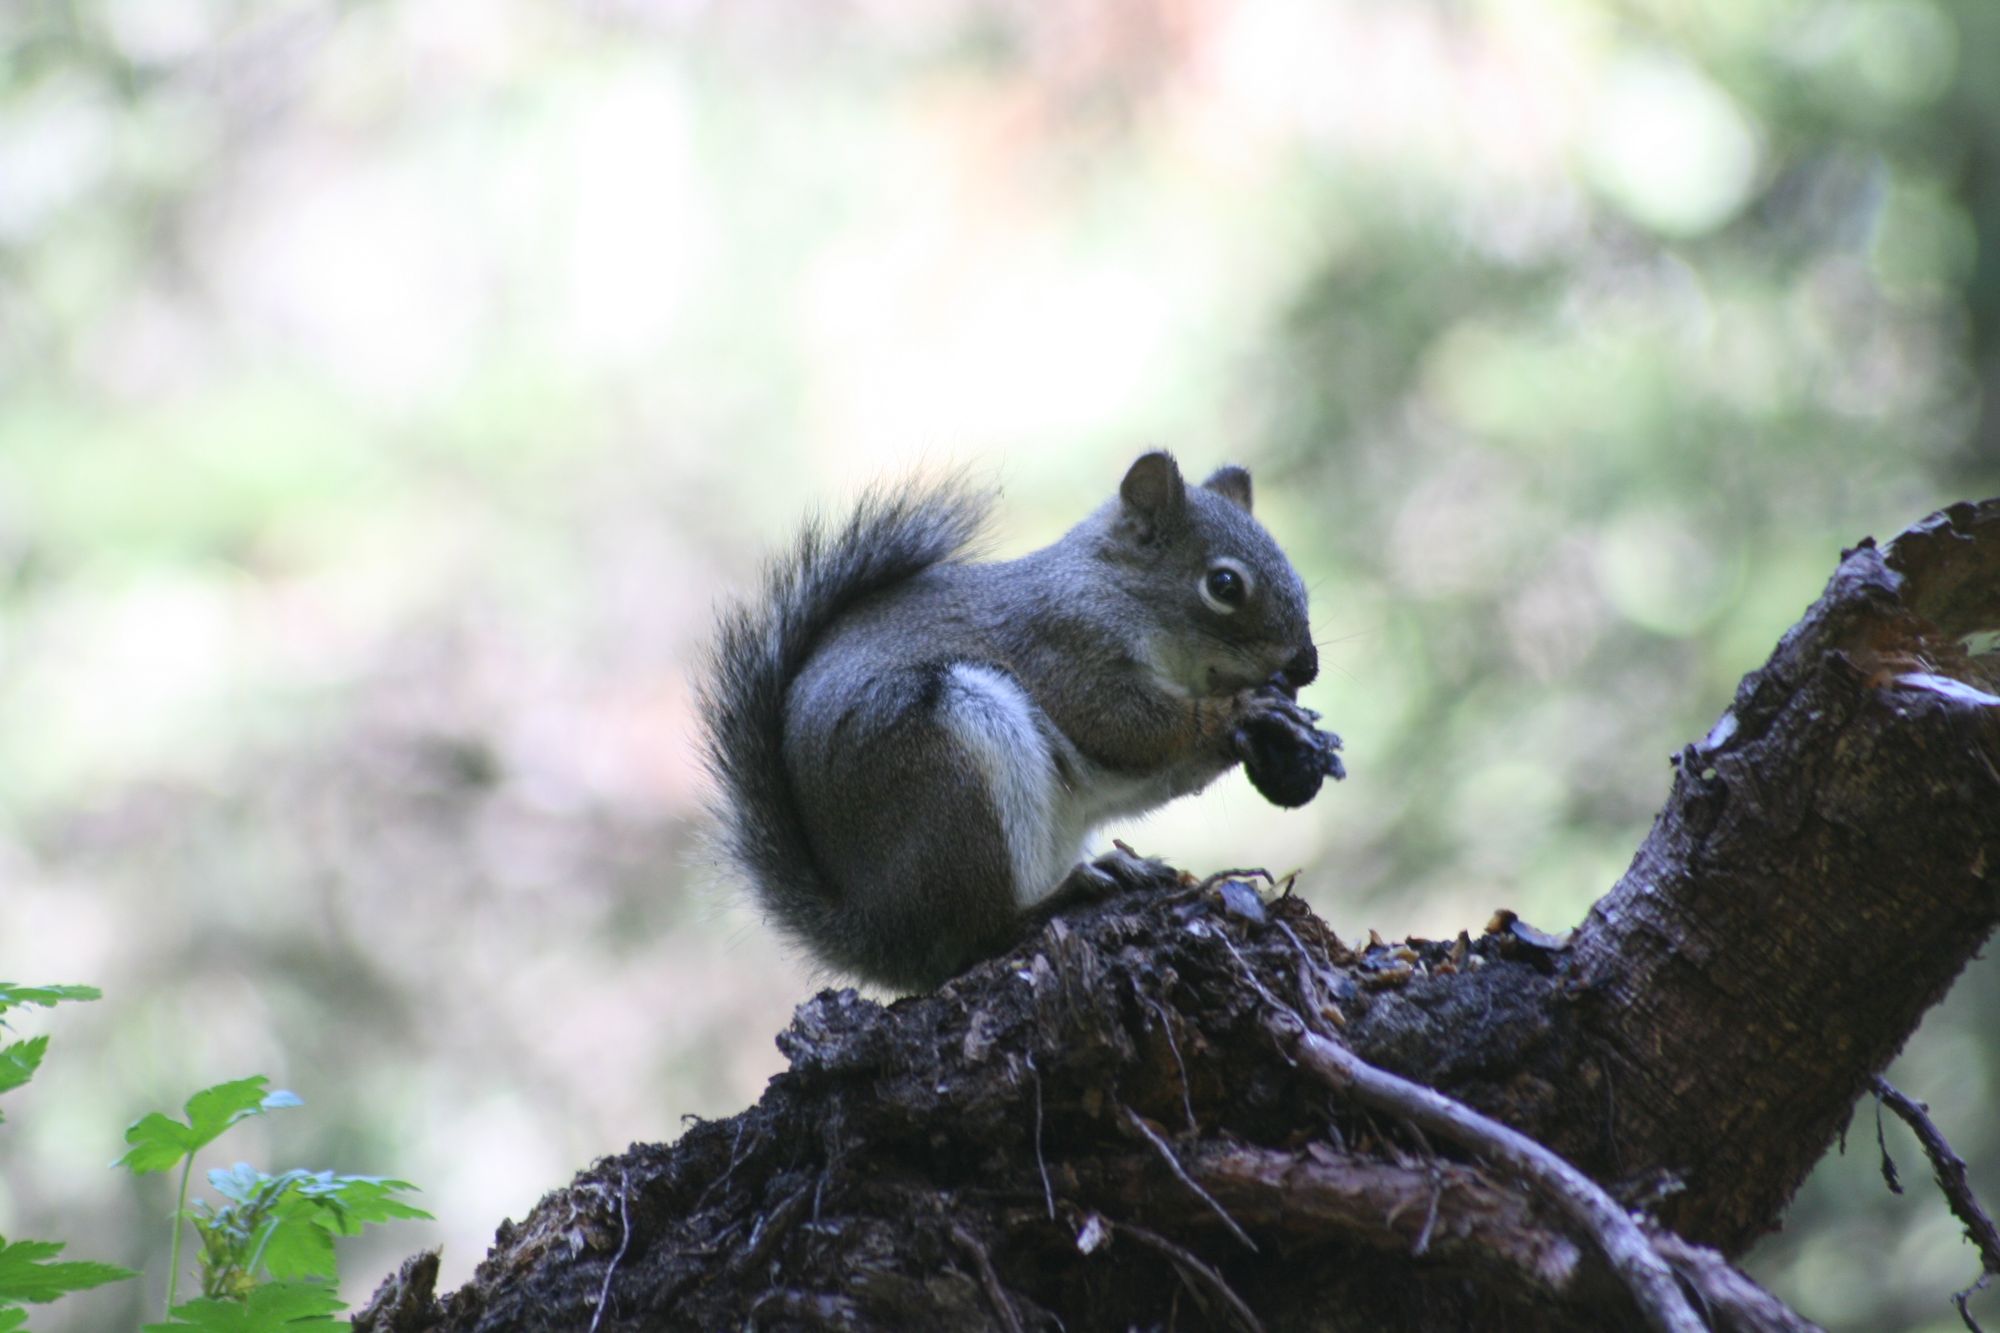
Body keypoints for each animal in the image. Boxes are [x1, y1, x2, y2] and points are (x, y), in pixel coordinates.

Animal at [704, 448, 1344, 984]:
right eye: (1224, 584)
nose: (1307, 665)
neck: (1115, 591)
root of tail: (876, 934)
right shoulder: (1065, 651)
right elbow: (1128, 729)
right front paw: (1244, 711)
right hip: (950, 775)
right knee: (976, 935)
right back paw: (1067, 894)